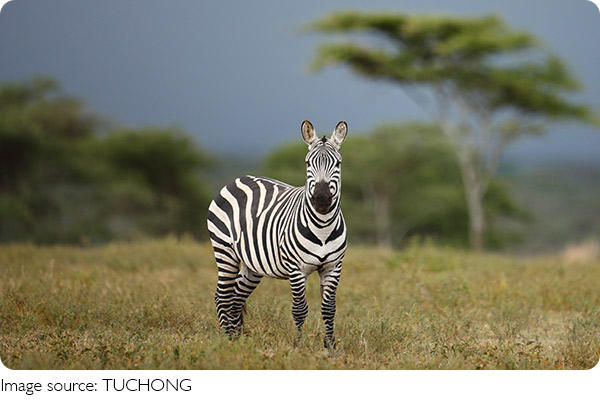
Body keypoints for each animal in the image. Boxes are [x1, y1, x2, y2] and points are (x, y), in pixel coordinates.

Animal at [207, 120, 348, 348]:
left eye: (338, 164)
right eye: (308, 164)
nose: (321, 199)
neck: (323, 228)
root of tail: (238, 178)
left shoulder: (333, 267)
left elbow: (329, 309)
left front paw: (330, 347)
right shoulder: (295, 268)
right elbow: (299, 310)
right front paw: (298, 346)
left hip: (253, 265)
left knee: (236, 298)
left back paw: (238, 339)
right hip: (224, 251)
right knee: (223, 296)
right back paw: (228, 340)